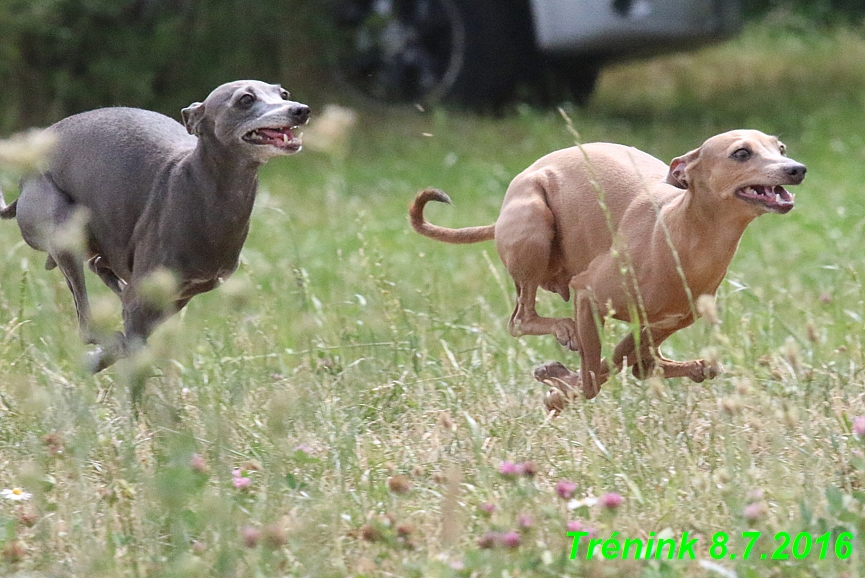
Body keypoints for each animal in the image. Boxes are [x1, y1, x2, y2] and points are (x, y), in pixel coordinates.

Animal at [0, 80, 310, 368]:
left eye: (283, 94)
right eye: (245, 99)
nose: (300, 110)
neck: (201, 188)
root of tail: (21, 187)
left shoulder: (179, 294)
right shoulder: (142, 301)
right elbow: (133, 347)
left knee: (101, 269)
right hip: (61, 226)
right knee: (87, 324)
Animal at [410, 130, 804, 410]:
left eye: (780, 147)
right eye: (741, 153)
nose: (797, 169)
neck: (678, 232)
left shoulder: (665, 321)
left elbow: (617, 363)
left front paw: (558, 382)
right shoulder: (588, 294)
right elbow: (591, 381)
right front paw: (558, 386)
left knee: (637, 361)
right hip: (534, 225)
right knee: (520, 320)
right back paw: (563, 334)